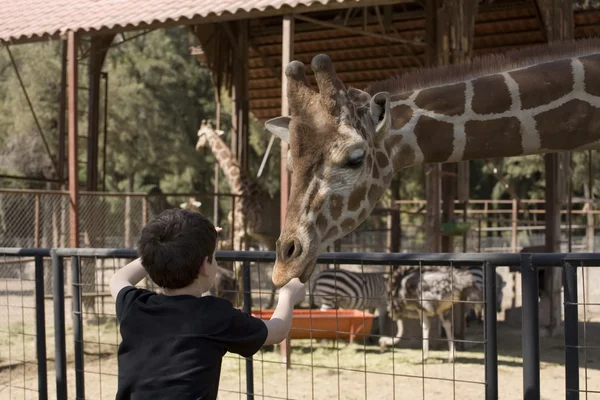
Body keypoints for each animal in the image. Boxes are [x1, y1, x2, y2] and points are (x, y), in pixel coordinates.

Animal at [196, 120, 282, 308]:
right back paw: (271, 303)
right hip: (270, 239)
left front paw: (242, 302)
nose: (198, 147)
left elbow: (239, 265)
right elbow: (243, 264)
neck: (240, 187)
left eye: (200, 134)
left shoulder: (238, 233)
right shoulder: (248, 236)